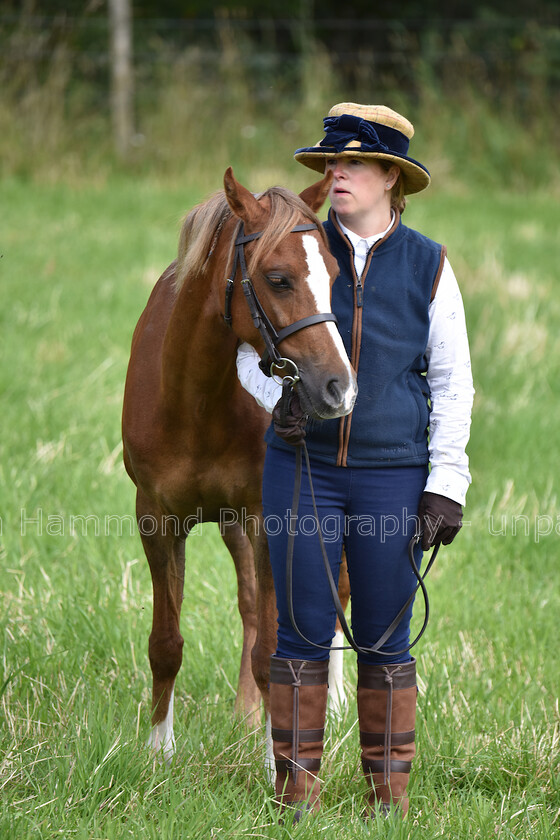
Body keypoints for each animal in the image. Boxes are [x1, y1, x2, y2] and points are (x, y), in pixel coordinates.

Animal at [123, 166, 358, 760]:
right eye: (277, 278)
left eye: (333, 275)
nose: (338, 387)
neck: (193, 400)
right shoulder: (157, 518)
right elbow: (166, 642)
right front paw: (160, 750)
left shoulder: (268, 518)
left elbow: (273, 650)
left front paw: (278, 759)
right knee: (251, 607)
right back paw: (247, 716)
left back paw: (330, 704)